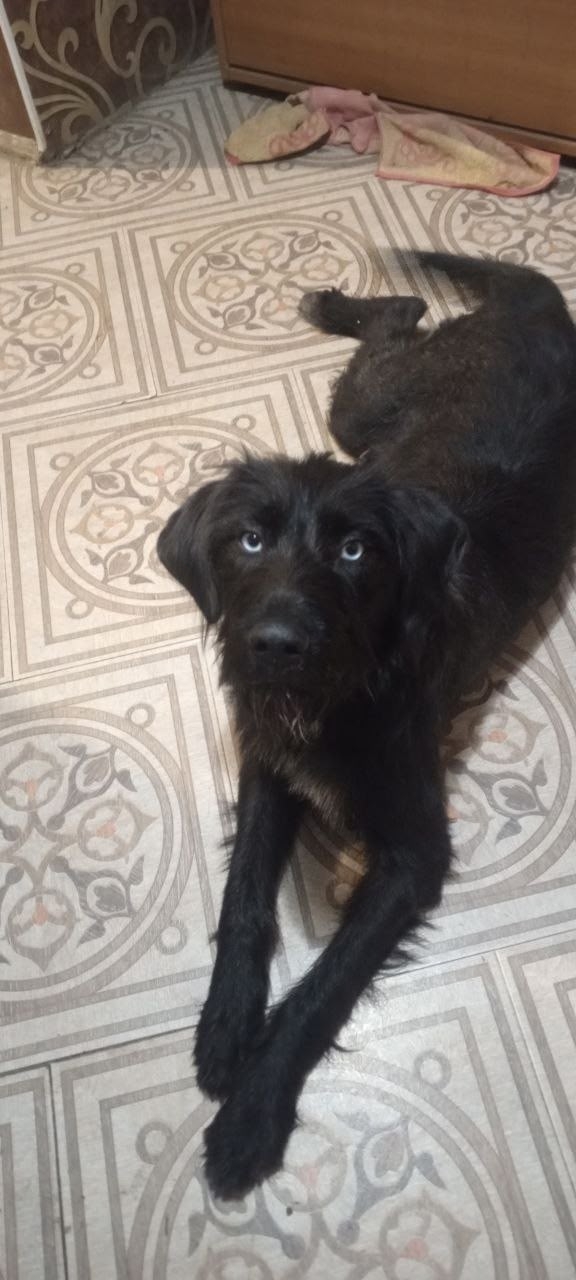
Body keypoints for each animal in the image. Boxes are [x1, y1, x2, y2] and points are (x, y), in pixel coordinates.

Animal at [157, 252, 576, 1200]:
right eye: (248, 541)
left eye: (355, 551)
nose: (276, 646)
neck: (333, 699)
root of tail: (542, 313)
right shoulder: (267, 763)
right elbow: (244, 898)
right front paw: (225, 1023)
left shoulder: (415, 854)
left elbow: (324, 984)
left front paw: (252, 1113)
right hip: (361, 411)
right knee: (403, 312)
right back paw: (334, 301)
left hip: (369, 403)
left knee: (406, 311)